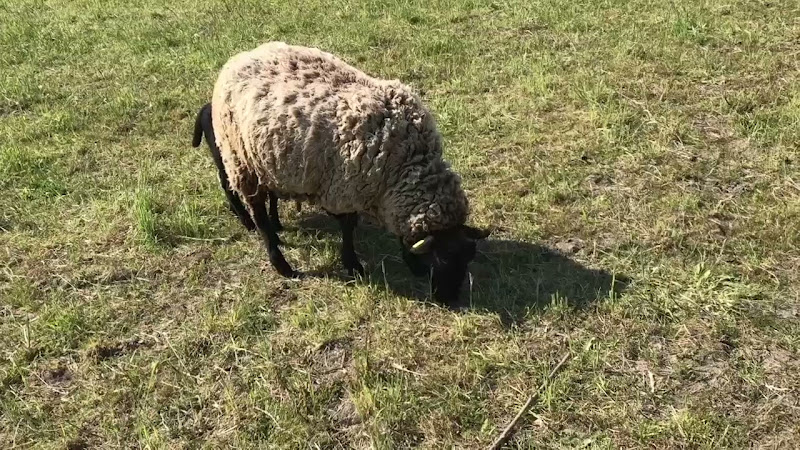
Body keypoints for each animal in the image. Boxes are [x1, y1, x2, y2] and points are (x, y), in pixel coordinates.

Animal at [211, 41, 490, 305]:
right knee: (257, 214)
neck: (404, 163)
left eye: (467, 260)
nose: (449, 300)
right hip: (241, 161)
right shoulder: (344, 188)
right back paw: (281, 264)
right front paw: (353, 265)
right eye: (442, 260)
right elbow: (348, 227)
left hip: (265, 164)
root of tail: (239, 57)